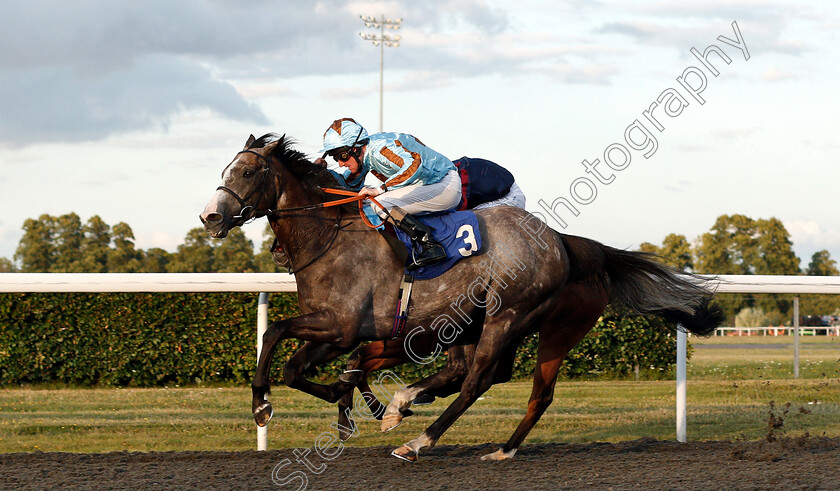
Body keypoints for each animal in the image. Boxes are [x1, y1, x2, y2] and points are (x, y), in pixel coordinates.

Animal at [199, 134, 720, 462]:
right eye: (225, 169)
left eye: (248, 171)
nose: (210, 217)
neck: (330, 236)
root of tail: (562, 242)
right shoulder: (340, 330)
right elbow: (297, 363)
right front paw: (351, 407)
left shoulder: (342, 324)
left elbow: (279, 334)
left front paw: (267, 406)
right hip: (473, 321)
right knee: (481, 376)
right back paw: (423, 414)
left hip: (516, 318)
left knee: (484, 381)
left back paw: (423, 442)